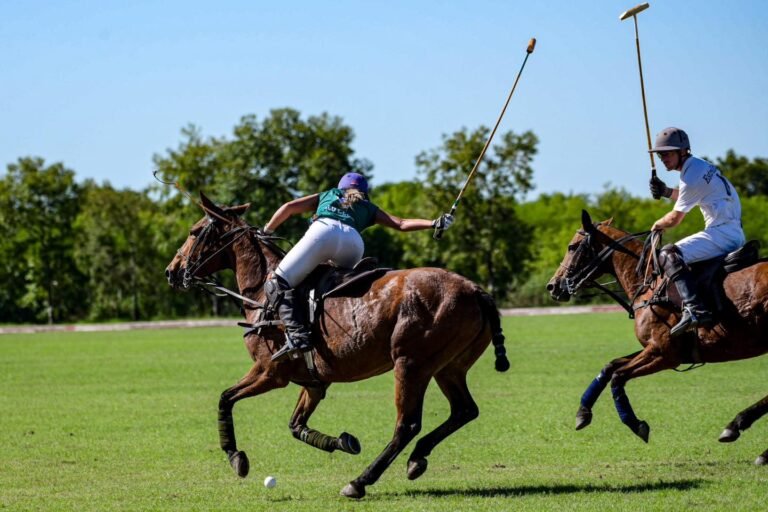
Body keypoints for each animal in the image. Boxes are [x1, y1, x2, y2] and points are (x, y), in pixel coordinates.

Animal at [165, 193, 508, 500]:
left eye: (195, 231)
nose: (172, 271)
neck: (261, 291)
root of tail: (476, 290)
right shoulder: (314, 381)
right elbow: (296, 425)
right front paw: (343, 442)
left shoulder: (270, 372)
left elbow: (225, 398)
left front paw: (236, 457)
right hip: (448, 367)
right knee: (465, 409)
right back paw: (416, 458)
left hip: (411, 364)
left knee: (407, 424)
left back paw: (359, 482)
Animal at [544, 209, 768, 464]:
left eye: (572, 247)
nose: (552, 286)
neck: (648, 284)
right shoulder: (654, 348)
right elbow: (609, 367)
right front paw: (582, 413)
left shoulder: (665, 354)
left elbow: (618, 376)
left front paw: (636, 425)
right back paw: (743, 432)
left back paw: (743, 432)